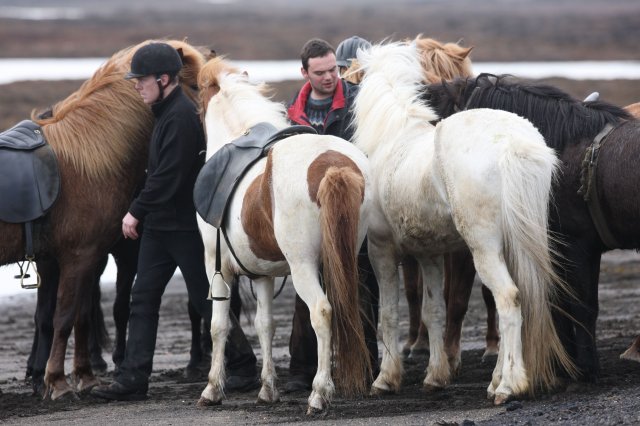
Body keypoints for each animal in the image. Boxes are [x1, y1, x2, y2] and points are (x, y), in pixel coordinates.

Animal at [0, 37, 206, 400]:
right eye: (194, 85)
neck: (88, 160)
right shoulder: (79, 257)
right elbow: (64, 317)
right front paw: (58, 382)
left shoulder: (84, 258)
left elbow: (78, 317)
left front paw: (84, 376)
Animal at [198, 56, 372, 412]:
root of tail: (333, 165)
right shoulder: (262, 273)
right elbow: (265, 325)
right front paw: (268, 389)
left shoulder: (215, 265)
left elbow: (219, 326)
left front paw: (212, 389)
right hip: (345, 256)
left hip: (304, 266)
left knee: (322, 312)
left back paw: (319, 393)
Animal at [352, 41, 576, 404]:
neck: (396, 136)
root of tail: (512, 143)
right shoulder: (428, 254)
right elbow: (433, 311)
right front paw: (436, 376)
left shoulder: (381, 249)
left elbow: (388, 314)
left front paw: (386, 379)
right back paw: (498, 380)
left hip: (483, 249)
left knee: (509, 299)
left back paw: (509, 386)